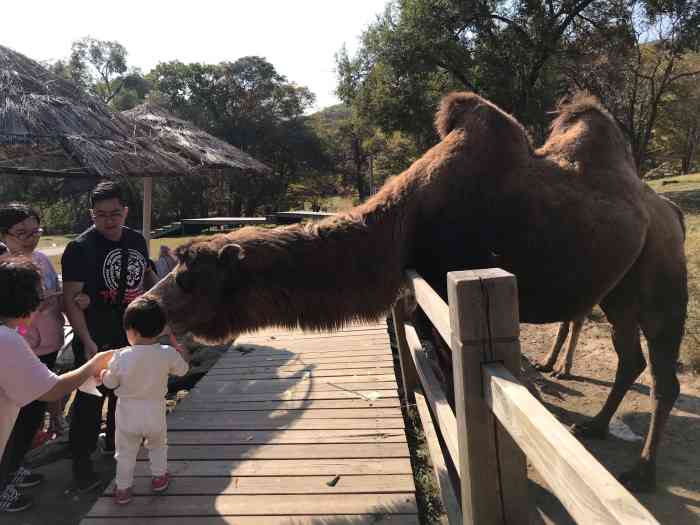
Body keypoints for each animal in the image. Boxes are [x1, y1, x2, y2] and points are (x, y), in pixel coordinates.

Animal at [139, 91, 688, 492]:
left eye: (187, 277)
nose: (142, 308)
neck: (399, 229)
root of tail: (671, 211)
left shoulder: (447, 293)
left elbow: (452, 380)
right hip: (618, 292)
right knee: (629, 358)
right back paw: (594, 426)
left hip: (662, 276)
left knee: (664, 372)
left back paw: (642, 471)